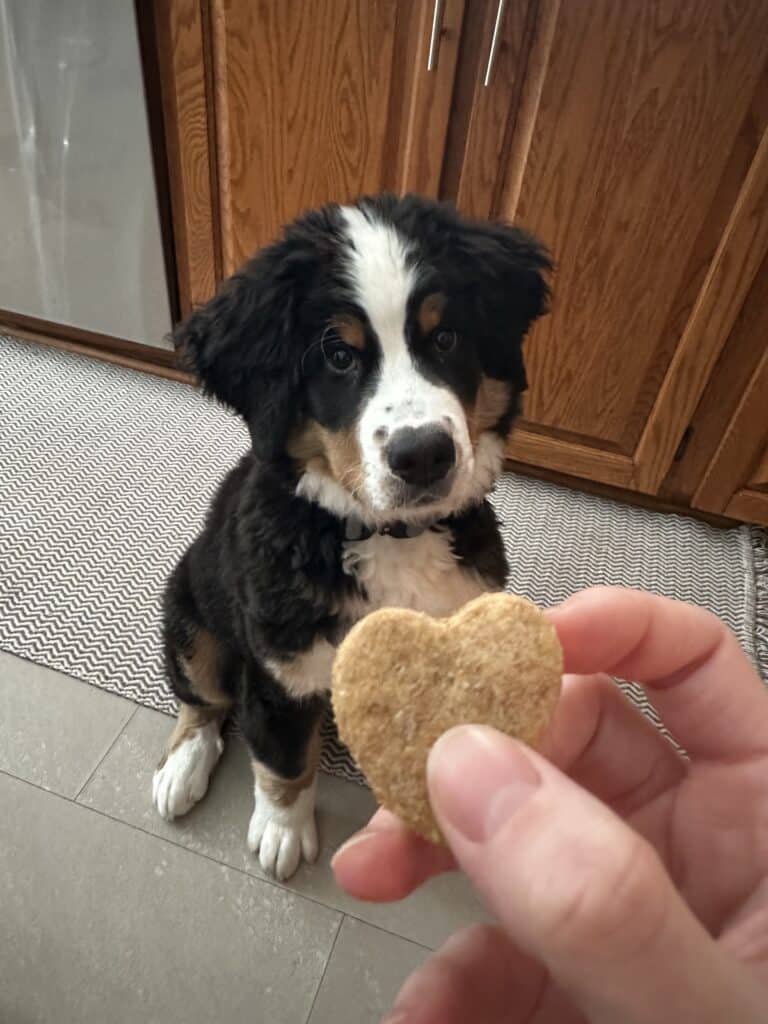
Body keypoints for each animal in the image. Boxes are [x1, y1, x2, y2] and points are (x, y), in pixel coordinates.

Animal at [151, 193, 548, 880]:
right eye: (339, 357)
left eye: (446, 337)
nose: (424, 455)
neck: (394, 539)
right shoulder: (280, 673)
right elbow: (283, 762)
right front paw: (283, 830)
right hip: (192, 612)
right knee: (202, 698)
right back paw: (182, 768)